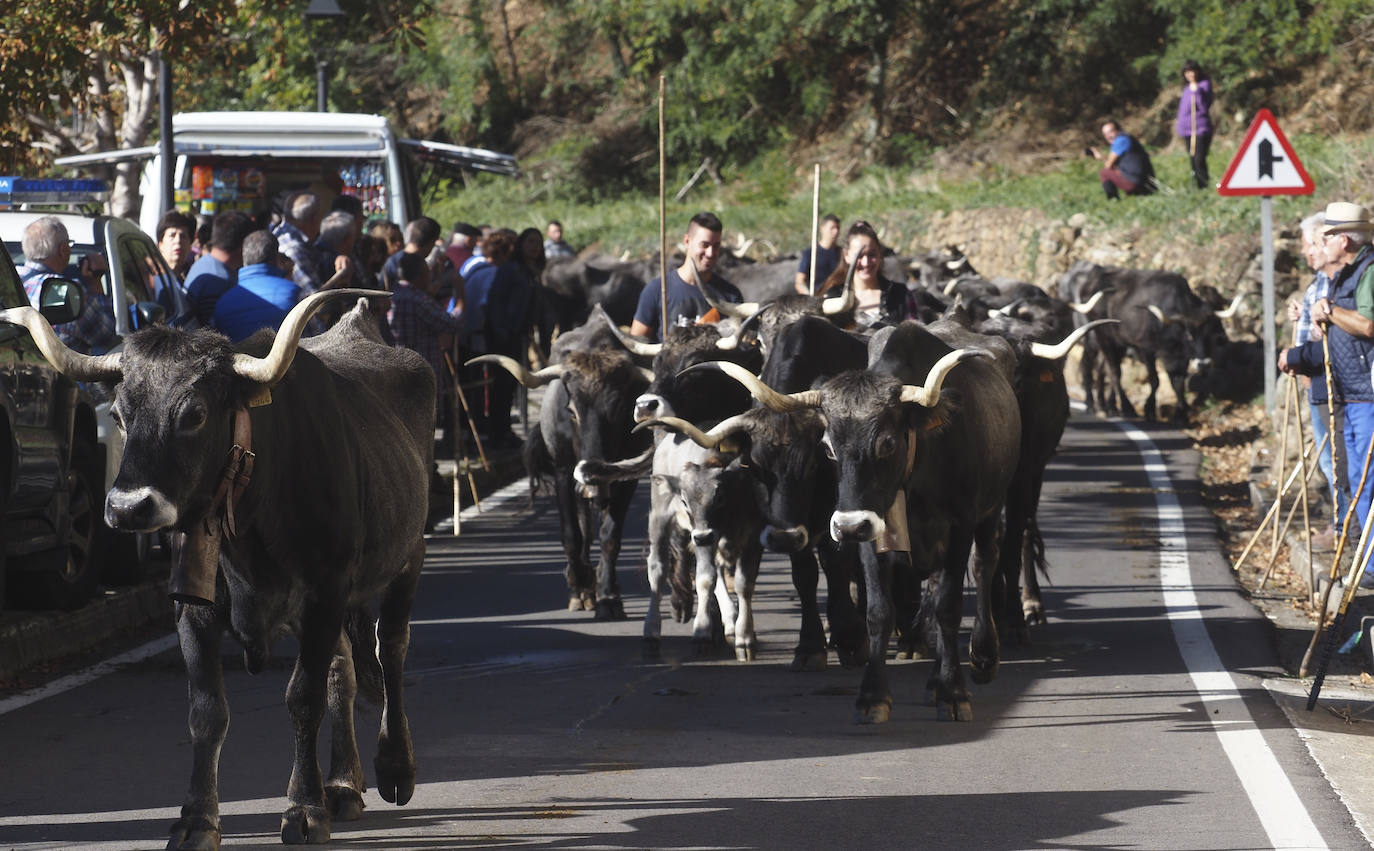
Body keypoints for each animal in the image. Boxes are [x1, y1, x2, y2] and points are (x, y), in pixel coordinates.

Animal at [5, 292, 428, 851]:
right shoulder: (195, 609)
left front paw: (304, 808)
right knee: (345, 666)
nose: (127, 507)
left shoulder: (326, 591)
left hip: (407, 557)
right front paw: (197, 819)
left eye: (195, 414)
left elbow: (303, 697)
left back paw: (395, 767)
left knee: (392, 647)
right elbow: (207, 712)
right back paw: (342, 785)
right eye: (118, 414)